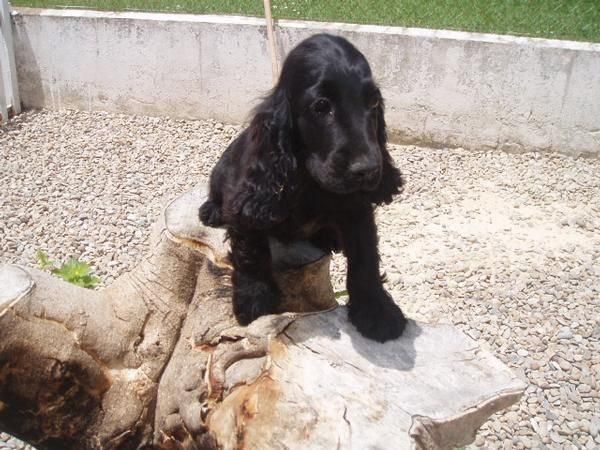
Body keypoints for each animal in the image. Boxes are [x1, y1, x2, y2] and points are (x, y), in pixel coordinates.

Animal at [202, 33, 408, 342]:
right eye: (321, 106)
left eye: (373, 103)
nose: (369, 170)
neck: (311, 181)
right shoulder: (248, 200)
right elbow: (250, 250)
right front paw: (253, 298)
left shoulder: (357, 209)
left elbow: (366, 258)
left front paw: (376, 311)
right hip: (222, 169)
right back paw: (211, 211)